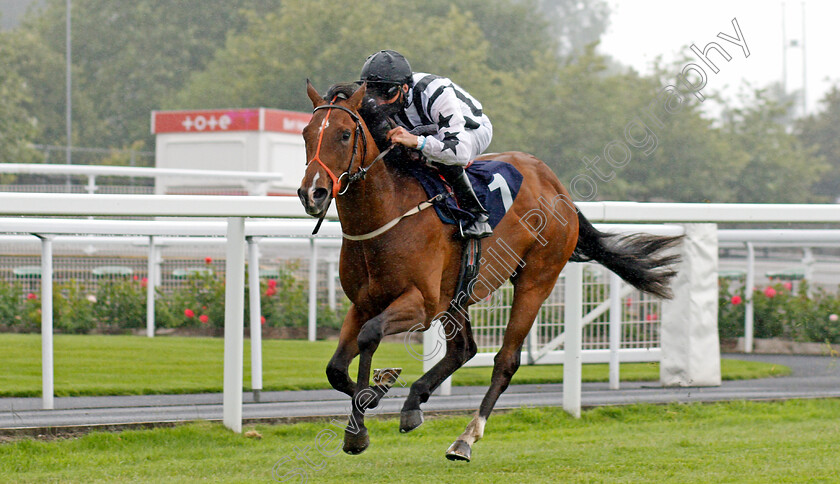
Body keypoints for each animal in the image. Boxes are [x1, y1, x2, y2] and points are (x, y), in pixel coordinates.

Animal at [298, 81, 680, 464]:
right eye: (306, 133)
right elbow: (335, 368)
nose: (312, 192)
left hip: (536, 280)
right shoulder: (363, 303)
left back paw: (465, 439)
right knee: (463, 350)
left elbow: (370, 335)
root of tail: (558, 188)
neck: (387, 215)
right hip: (459, 292)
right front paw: (377, 392)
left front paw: (359, 426)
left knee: (505, 361)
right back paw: (414, 403)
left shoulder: (421, 305)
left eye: (345, 134)